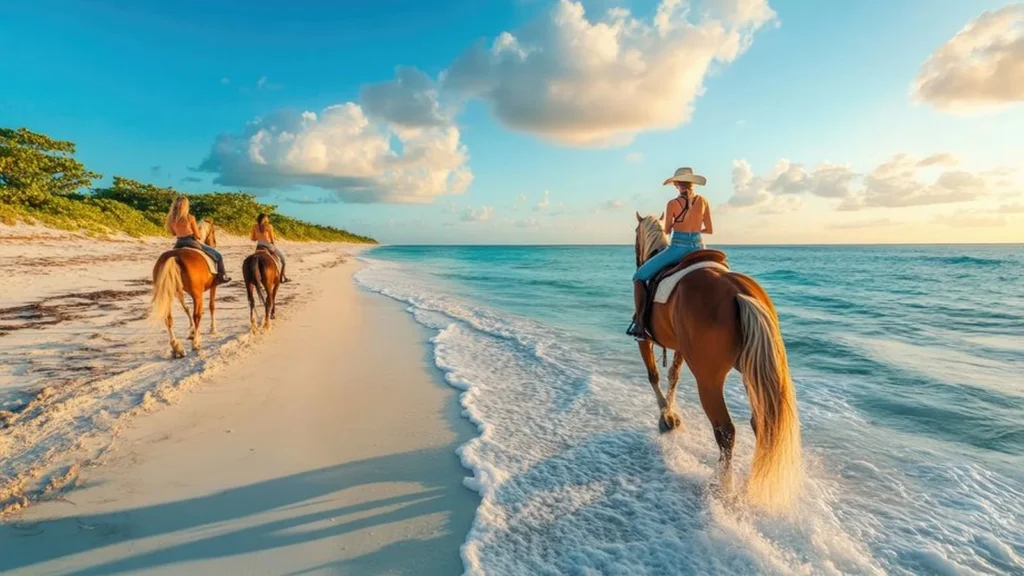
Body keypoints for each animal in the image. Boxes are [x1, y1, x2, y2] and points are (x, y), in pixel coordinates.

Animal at [149, 219, 222, 358]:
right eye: (213, 231)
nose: (214, 243)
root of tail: (174, 256)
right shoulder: (212, 287)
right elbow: (211, 306)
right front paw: (213, 329)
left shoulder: (178, 292)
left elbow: (185, 308)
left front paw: (192, 331)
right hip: (197, 294)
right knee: (197, 315)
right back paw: (195, 344)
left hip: (168, 293)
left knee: (168, 318)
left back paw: (177, 347)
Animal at [632, 213, 801, 512]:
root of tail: (738, 291)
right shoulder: (680, 348)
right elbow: (673, 376)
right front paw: (671, 414)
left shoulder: (645, 340)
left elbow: (654, 375)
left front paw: (665, 416)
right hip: (751, 372)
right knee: (759, 424)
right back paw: (747, 485)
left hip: (709, 380)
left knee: (725, 432)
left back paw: (722, 486)